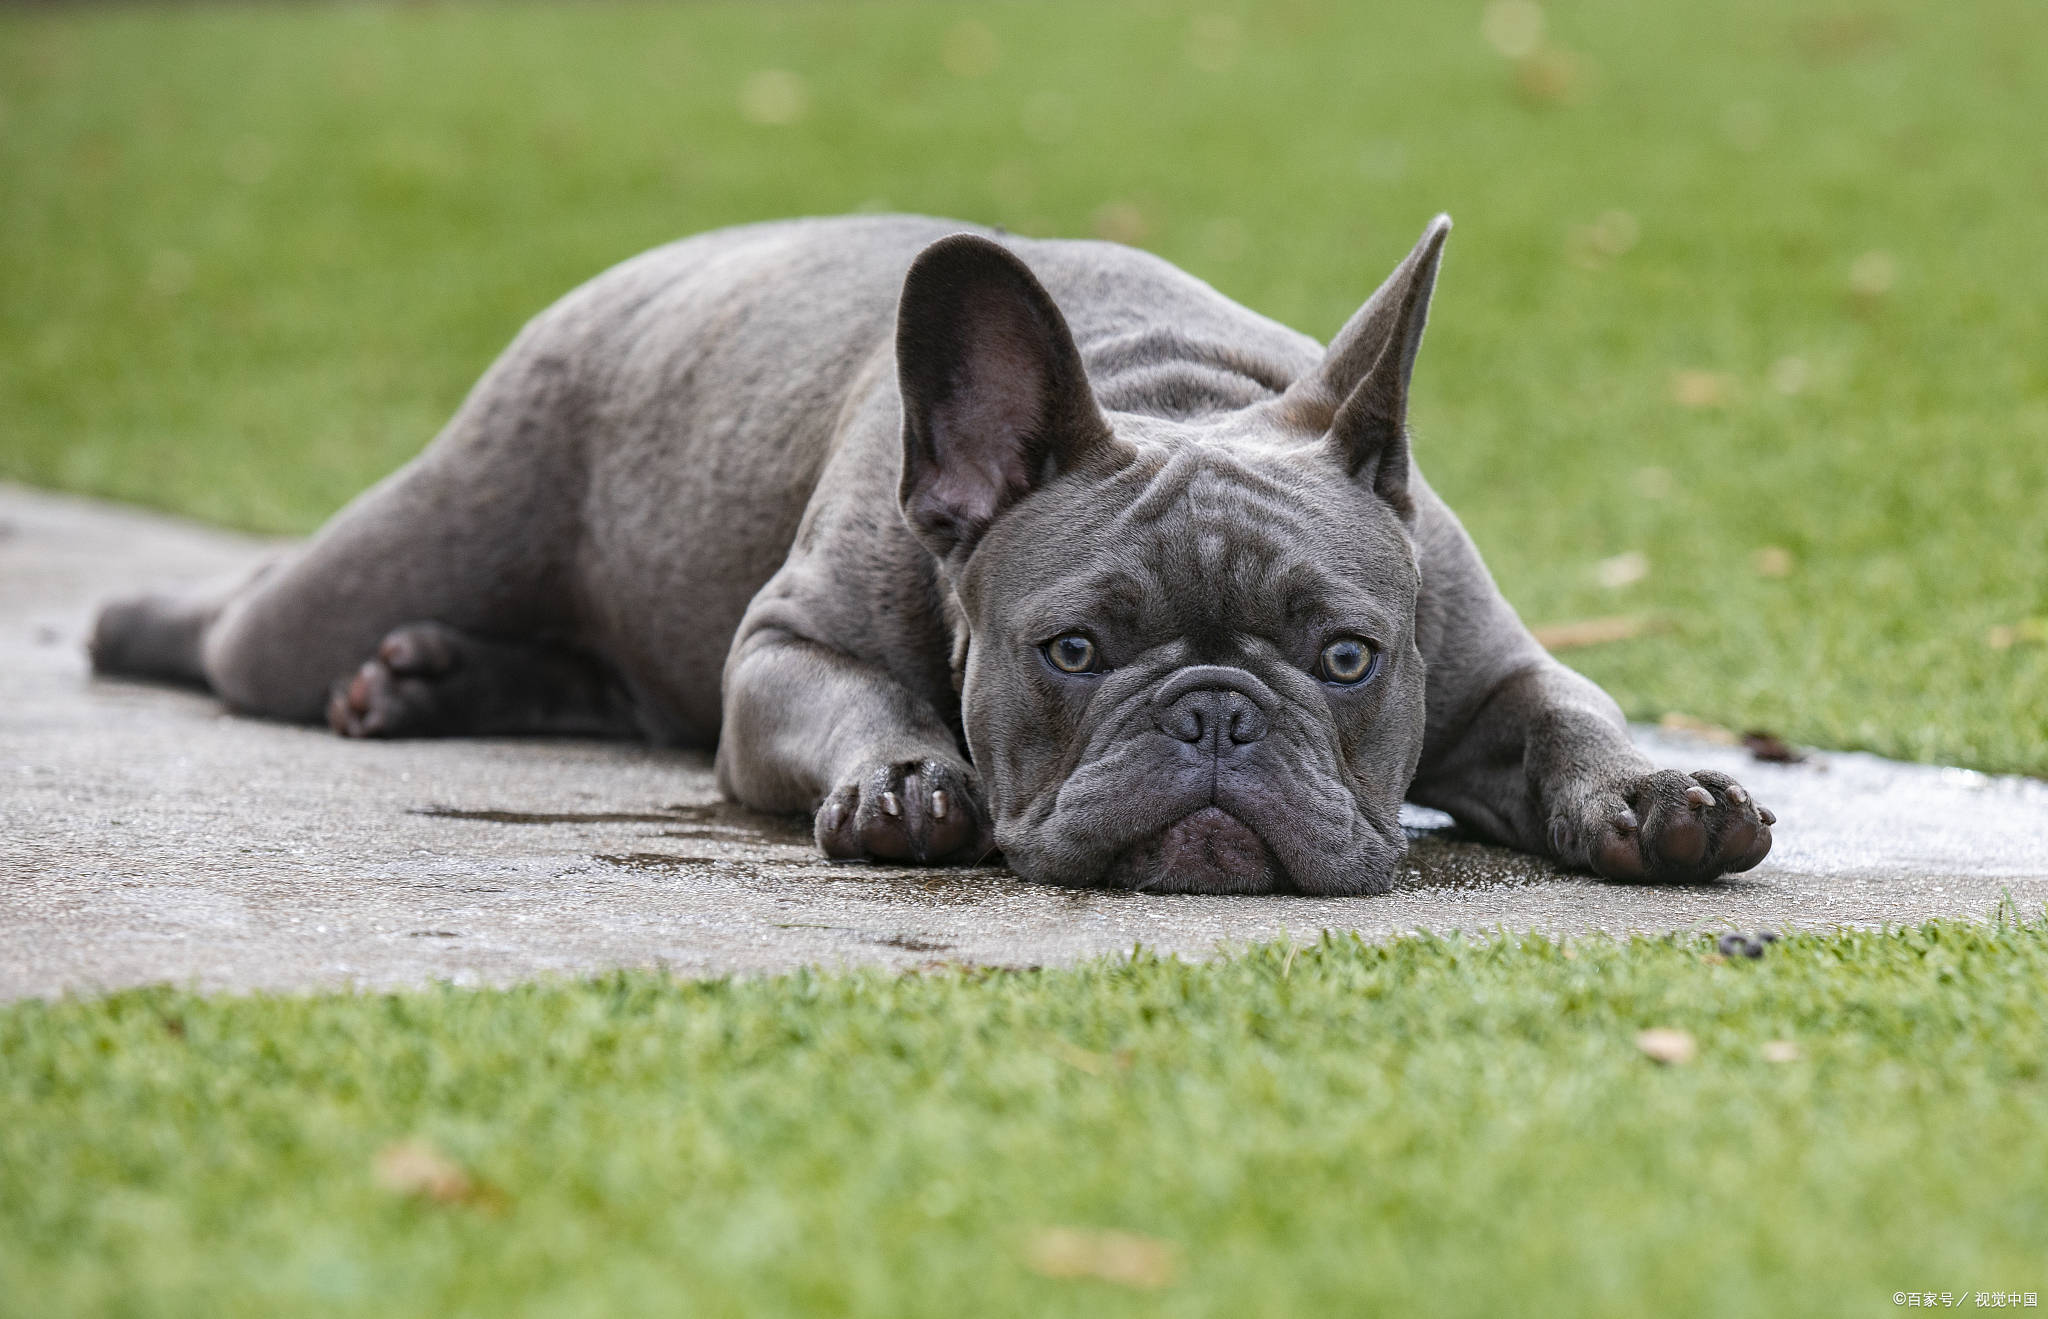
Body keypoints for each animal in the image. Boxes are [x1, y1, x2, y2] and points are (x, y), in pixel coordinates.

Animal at [88, 214, 1769, 897]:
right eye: (1072, 652)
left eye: (1348, 657)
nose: (1216, 714)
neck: (1177, 391)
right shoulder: (785, 653)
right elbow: (862, 700)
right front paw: (908, 782)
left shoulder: (1489, 666)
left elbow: (1570, 718)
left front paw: (1663, 796)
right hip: (398, 551)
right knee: (252, 628)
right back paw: (144, 624)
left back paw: (433, 679)